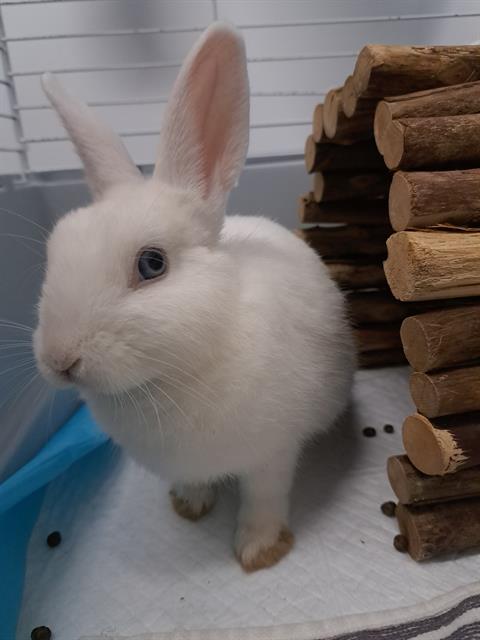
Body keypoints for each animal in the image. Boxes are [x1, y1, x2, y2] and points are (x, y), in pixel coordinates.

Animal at [34, 22, 356, 568]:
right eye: (53, 253)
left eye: (152, 264)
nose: (60, 360)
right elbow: (194, 483)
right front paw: (188, 507)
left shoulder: (272, 453)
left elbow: (264, 498)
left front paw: (257, 551)